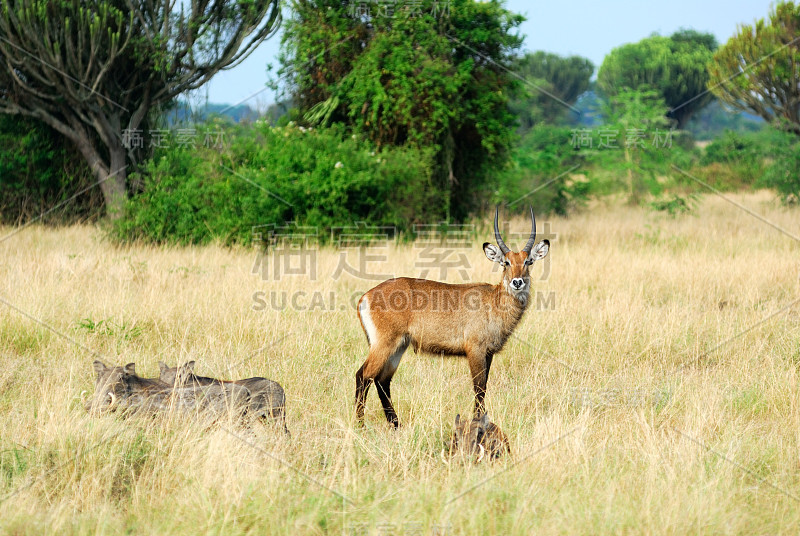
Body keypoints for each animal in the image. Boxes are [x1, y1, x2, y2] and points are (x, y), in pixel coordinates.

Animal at [356, 206, 552, 428]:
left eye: (528, 261)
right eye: (506, 262)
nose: (517, 282)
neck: (494, 301)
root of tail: (365, 296)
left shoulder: (488, 353)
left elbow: (484, 387)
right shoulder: (475, 350)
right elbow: (479, 388)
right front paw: (478, 423)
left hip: (399, 346)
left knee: (382, 380)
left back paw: (395, 425)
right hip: (384, 343)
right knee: (363, 375)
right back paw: (360, 425)